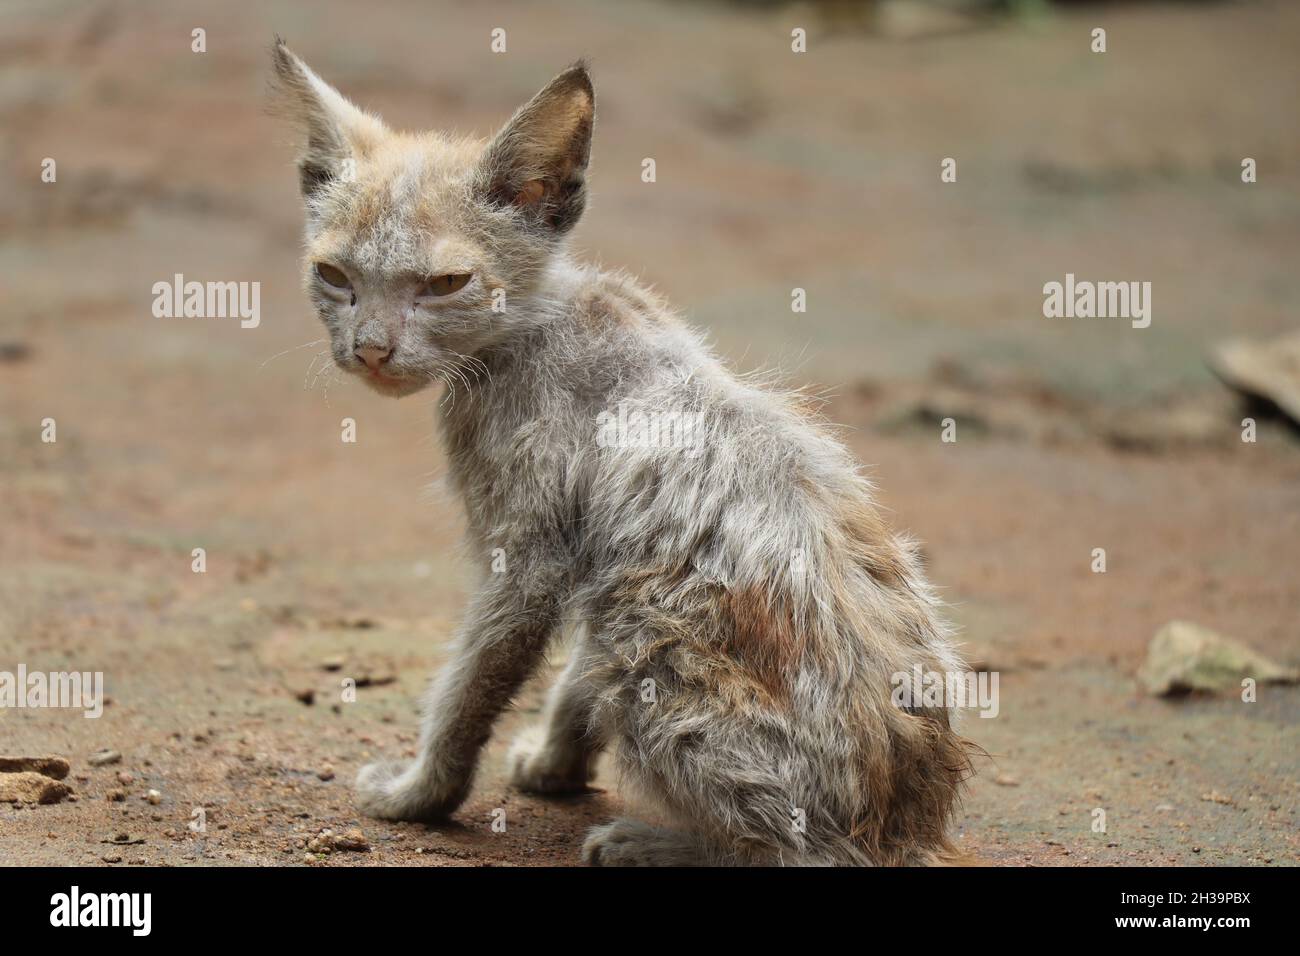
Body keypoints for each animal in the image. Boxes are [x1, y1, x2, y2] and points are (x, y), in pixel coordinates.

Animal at [269, 41, 972, 868]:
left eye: (445, 284)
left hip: (655, 639)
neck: (532, 322)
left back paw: (653, 841)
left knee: (809, 854)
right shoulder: (592, 559)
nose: (371, 349)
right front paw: (554, 764)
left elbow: (469, 686)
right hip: (633, 612)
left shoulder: (528, 559)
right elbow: (573, 677)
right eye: (333, 276)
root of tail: (906, 828)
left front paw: (421, 793)